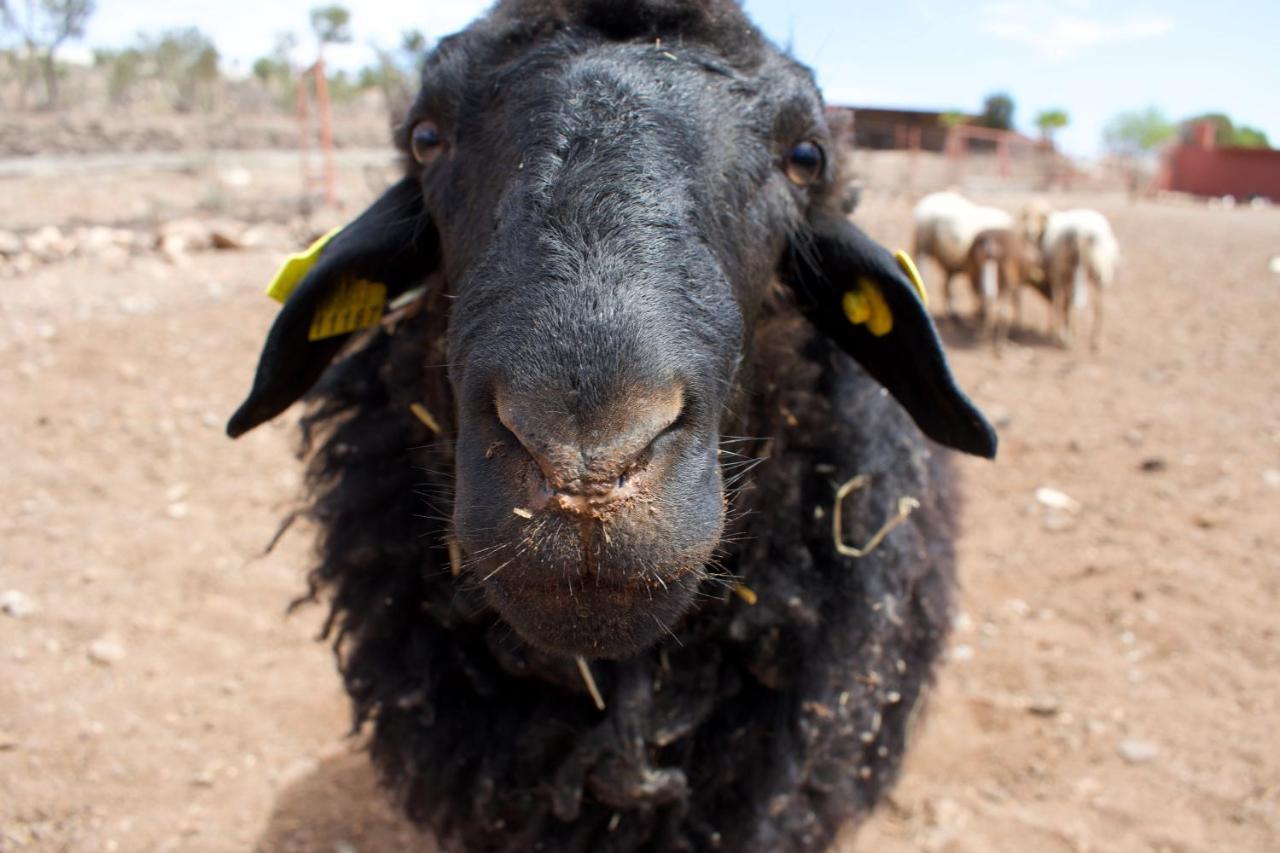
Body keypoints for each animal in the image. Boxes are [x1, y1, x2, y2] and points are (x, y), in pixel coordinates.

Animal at [916, 190, 1013, 320]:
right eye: (980, 256)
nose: (989, 292)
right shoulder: (974, 267)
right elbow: (978, 290)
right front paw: (982, 311)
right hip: (923, 248)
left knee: (946, 285)